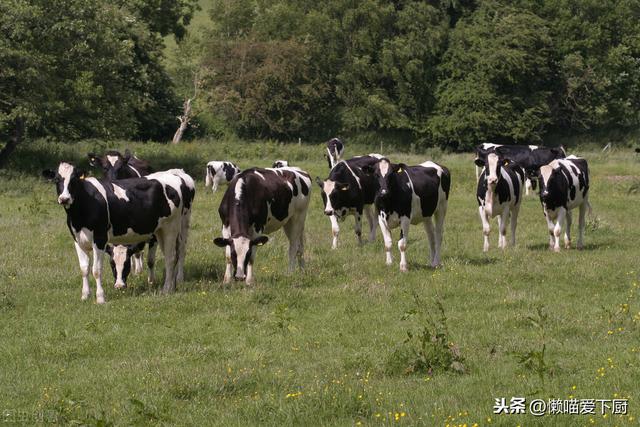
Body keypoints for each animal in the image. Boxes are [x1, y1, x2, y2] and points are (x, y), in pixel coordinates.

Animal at [42, 164, 194, 304]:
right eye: (57, 179)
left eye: (74, 180)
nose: (64, 198)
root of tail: (174, 174)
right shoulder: (78, 240)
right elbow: (84, 269)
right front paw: (85, 296)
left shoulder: (100, 239)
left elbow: (96, 270)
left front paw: (100, 298)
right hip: (160, 231)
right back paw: (172, 285)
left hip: (173, 227)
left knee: (173, 256)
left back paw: (168, 288)